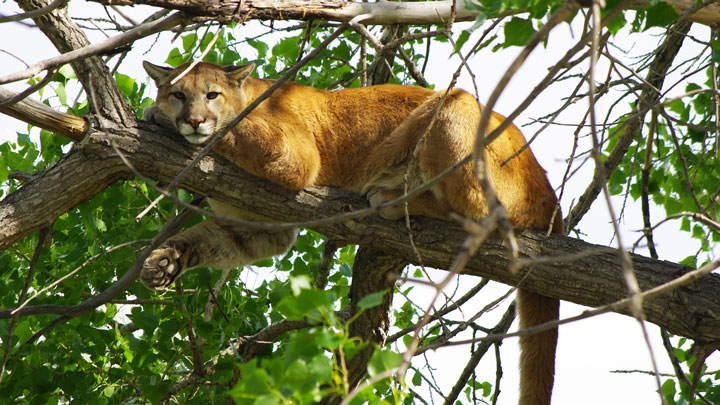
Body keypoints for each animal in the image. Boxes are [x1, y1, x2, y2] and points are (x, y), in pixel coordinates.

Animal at [142, 60, 564, 404]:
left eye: (211, 95)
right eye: (179, 94)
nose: (193, 120)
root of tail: (547, 187)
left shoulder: (294, 157)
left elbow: (232, 128)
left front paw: (159, 116)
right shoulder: (259, 225)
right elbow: (207, 240)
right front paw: (164, 263)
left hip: (453, 106)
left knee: (480, 213)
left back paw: (391, 196)